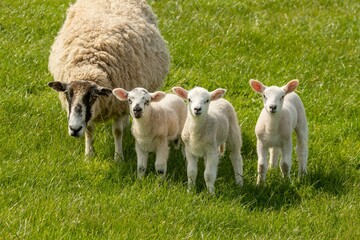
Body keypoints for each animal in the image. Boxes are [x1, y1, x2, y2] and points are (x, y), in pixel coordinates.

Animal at [47, 0, 169, 161]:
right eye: (67, 94)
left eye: (93, 97)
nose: (74, 129)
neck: (89, 66)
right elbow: (89, 129)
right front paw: (89, 155)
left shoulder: (118, 107)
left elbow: (117, 132)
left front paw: (118, 157)